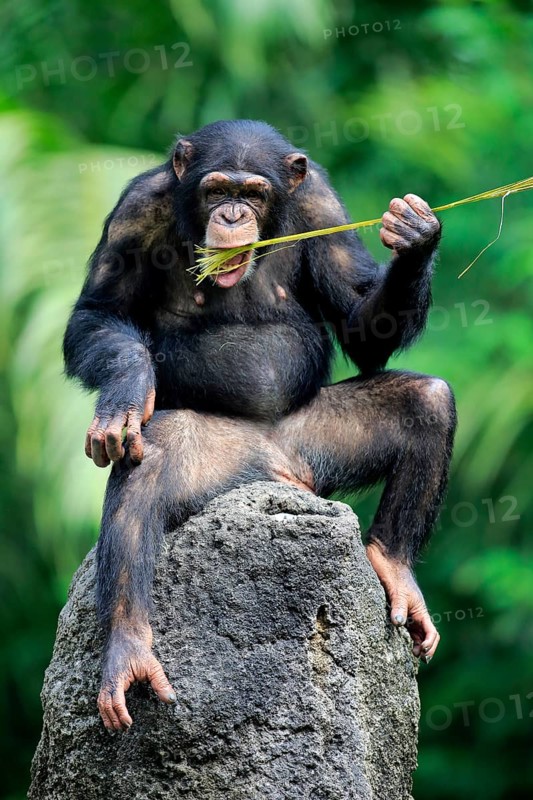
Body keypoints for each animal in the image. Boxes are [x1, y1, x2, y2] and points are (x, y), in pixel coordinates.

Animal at [63, 119, 456, 730]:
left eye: (253, 194)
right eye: (216, 191)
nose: (231, 215)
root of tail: (278, 466)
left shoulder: (322, 203)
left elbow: (360, 321)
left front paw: (415, 234)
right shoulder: (136, 210)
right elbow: (98, 314)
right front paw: (128, 390)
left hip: (318, 438)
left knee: (429, 401)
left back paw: (395, 569)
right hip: (221, 453)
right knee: (149, 459)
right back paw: (128, 647)